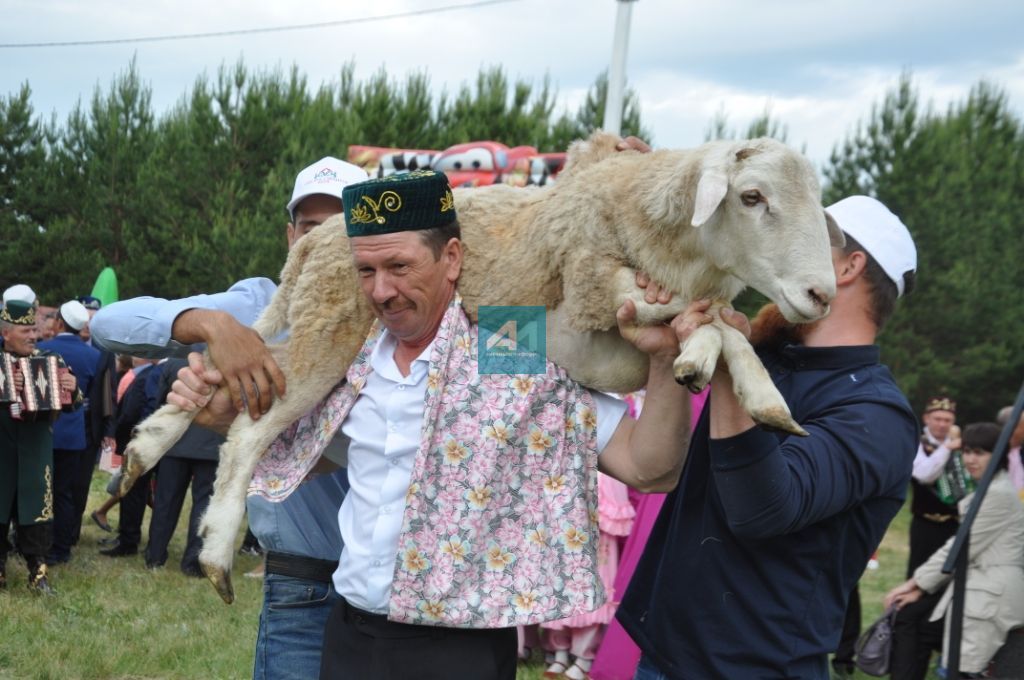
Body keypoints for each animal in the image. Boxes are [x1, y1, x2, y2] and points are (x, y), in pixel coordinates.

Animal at [121, 131, 839, 602]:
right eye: (751, 197)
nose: (820, 295)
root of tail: (319, 240)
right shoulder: (587, 312)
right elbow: (705, 317)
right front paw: (702, 356)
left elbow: (723, 325)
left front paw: (755, 393)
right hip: (330, 330)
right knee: (249, 429)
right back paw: (215, 549)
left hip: (318, 328)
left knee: (239, 364)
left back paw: (147, 444)